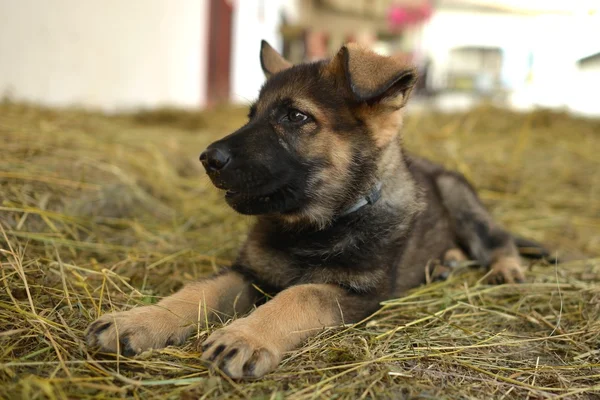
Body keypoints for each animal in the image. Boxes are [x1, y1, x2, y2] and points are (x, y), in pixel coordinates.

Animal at [85, 40, 536, 378]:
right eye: (251, 116)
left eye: (296, 116)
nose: (208, 159)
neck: (318, 226)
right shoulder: (250, 272)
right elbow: (198, 291)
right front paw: (139, 320)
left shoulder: (357, 294)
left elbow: (300, 294)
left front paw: (244, 337)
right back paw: (446, 263)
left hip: (460, 197)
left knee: (497, 238)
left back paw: (506, 268)